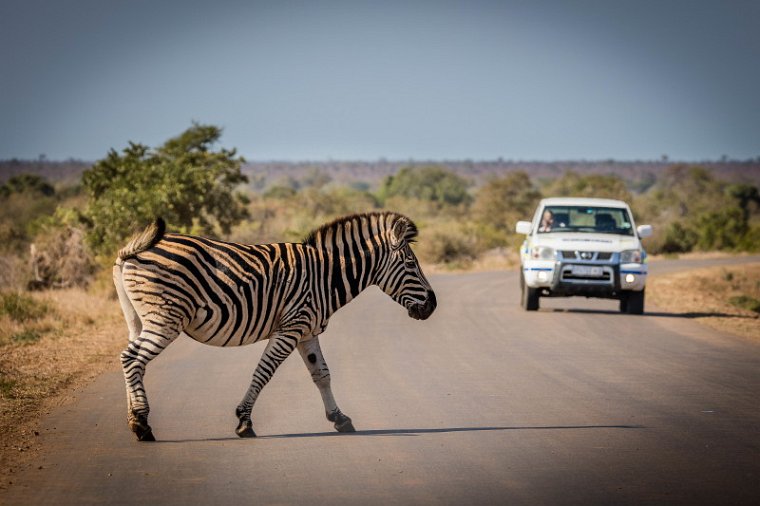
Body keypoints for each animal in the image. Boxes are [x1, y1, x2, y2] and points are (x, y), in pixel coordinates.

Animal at [110, 211, 436, 440]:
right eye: (410, 264)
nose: (432, 306)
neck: (326, 276)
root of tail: (130, 251)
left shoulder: (307, 331)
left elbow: (322, 375)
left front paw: (340, 418)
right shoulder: (291, 327)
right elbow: (263, 372)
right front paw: (244, 421)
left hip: (138, 319)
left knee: (131, 361)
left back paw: (133, 419)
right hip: (165, 319)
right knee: (132, 359)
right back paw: (142, 425)